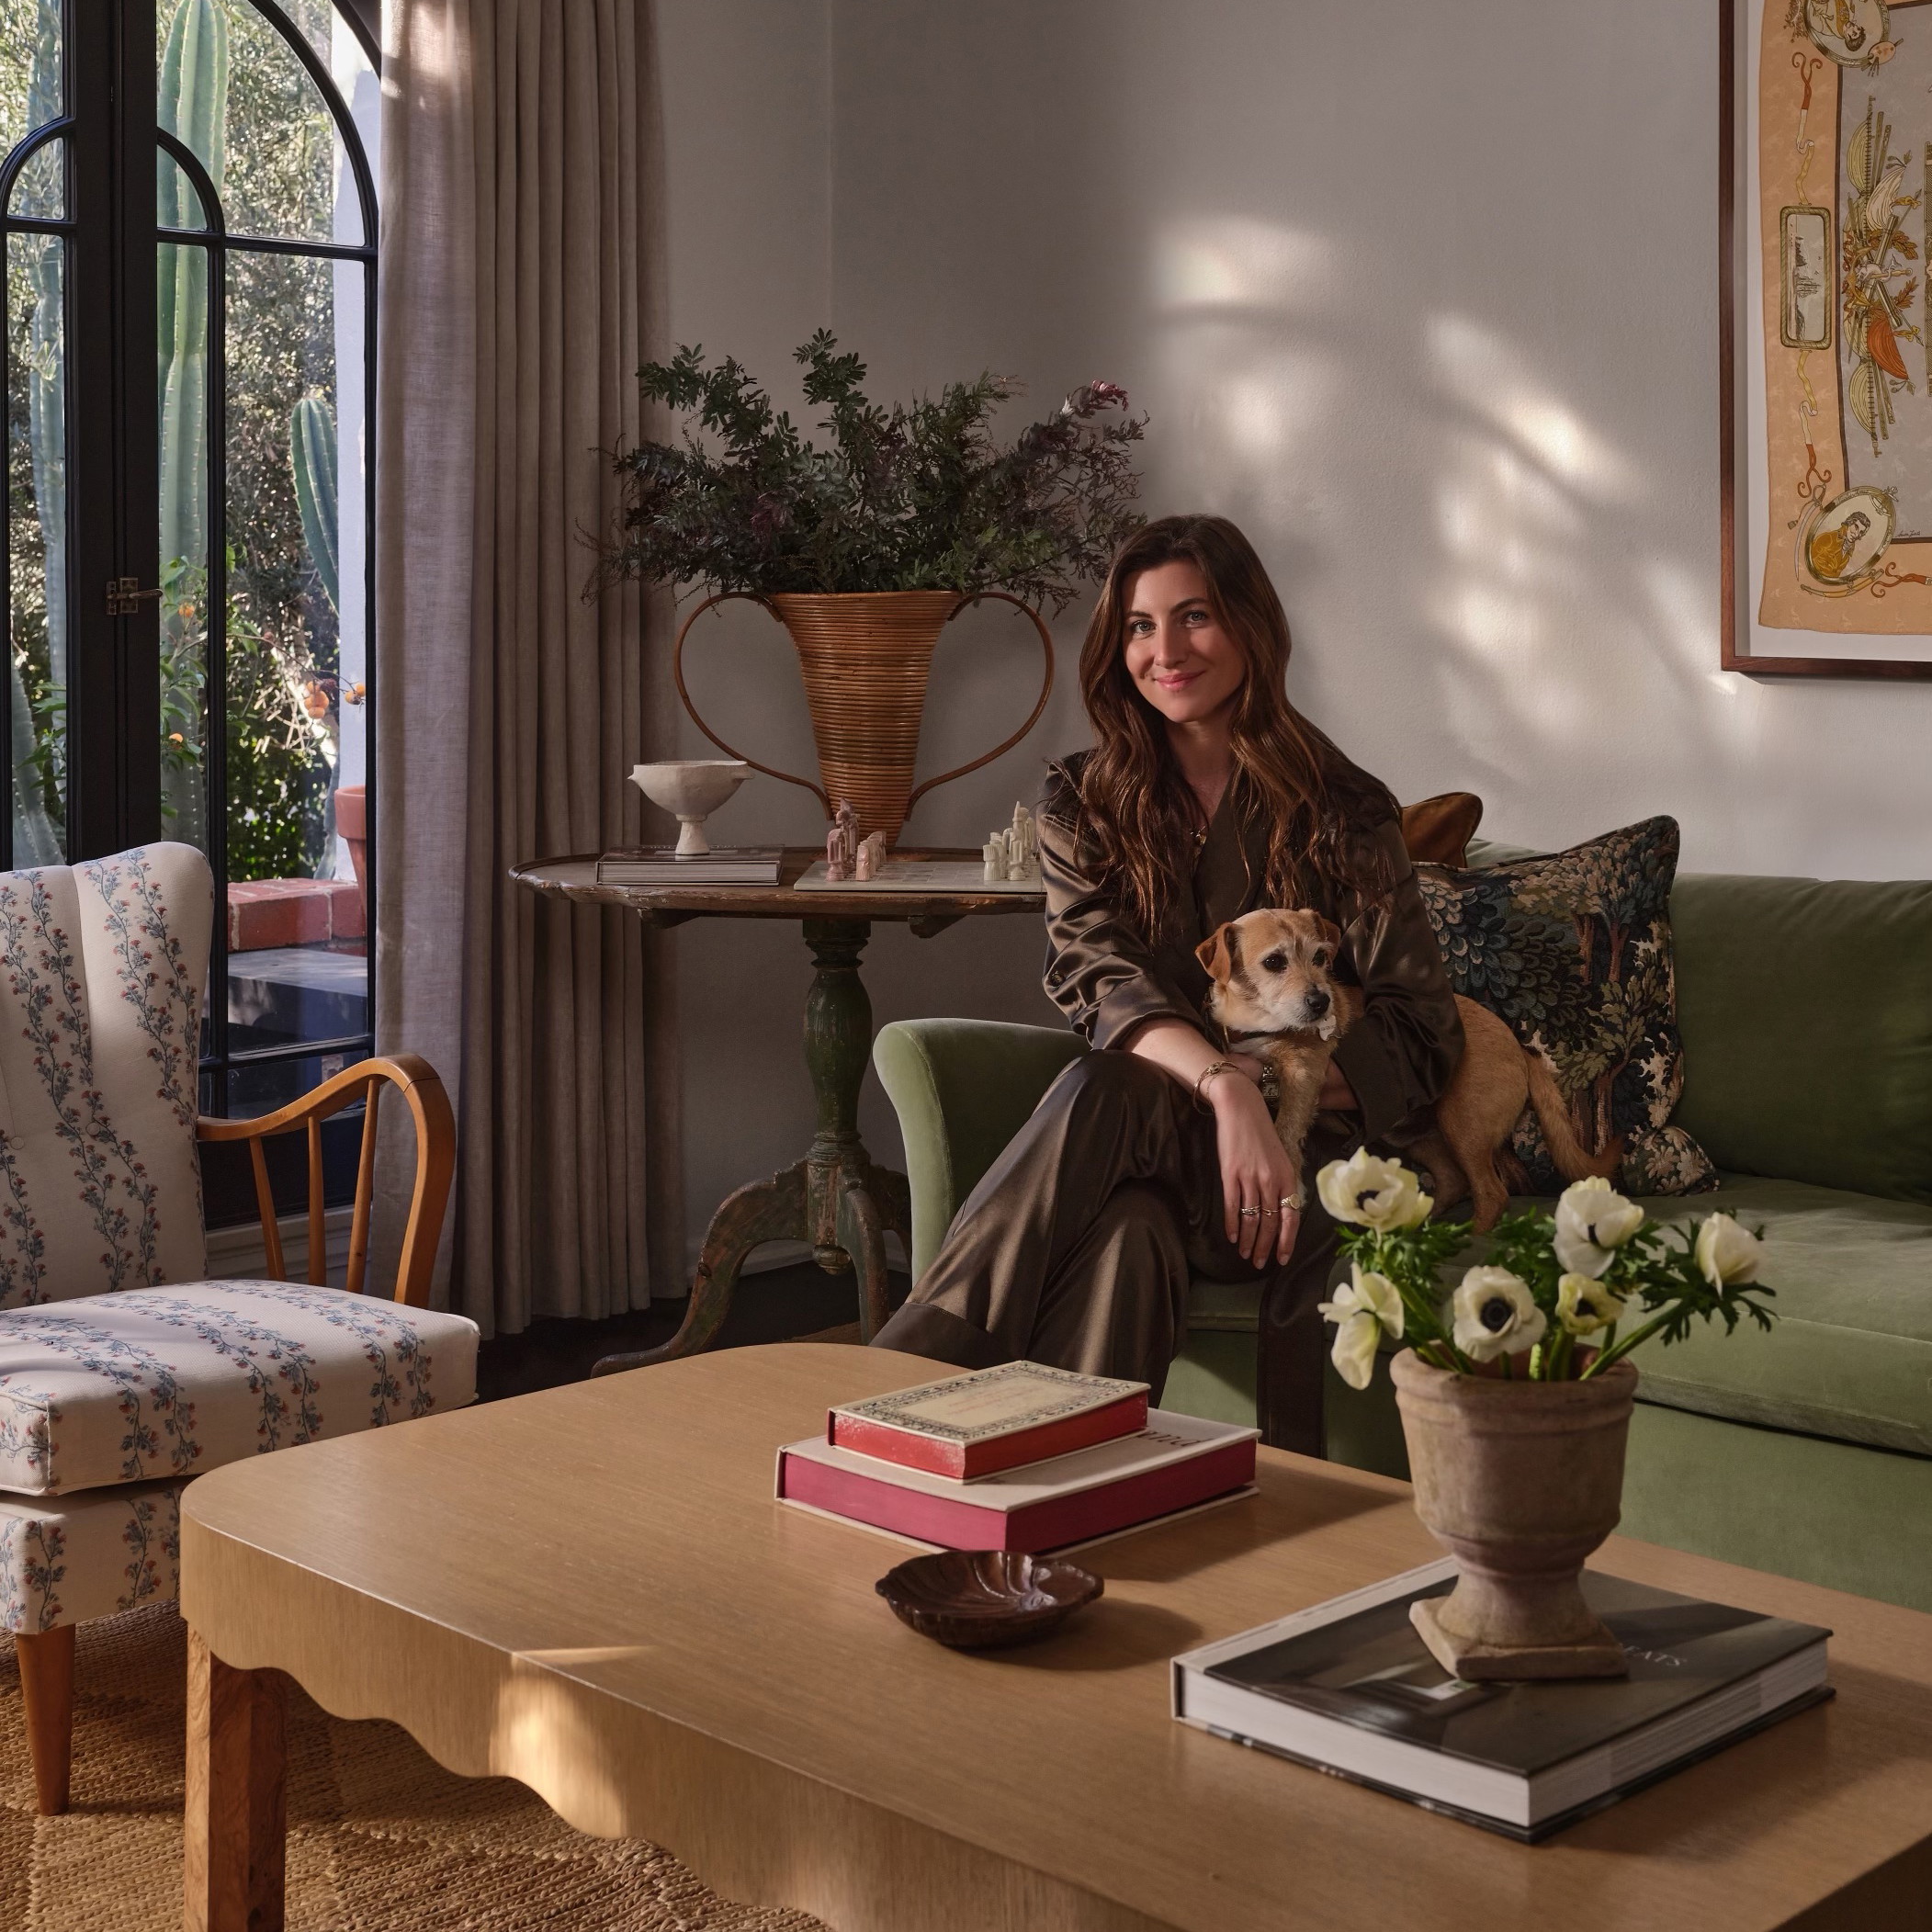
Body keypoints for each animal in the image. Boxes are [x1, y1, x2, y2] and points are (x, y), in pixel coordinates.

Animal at [1190, 904, 1615, 1221]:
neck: (1260, 1023)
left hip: (1463, 1125)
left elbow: (1284, 1129)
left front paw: (1290, 1182)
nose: (1321, 1002)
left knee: (1492, 1193)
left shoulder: (1304, 1071)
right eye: (1274, 962)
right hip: (1418, 1138)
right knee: (1454, 1182)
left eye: (1321, 956)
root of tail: (1523, 1051)